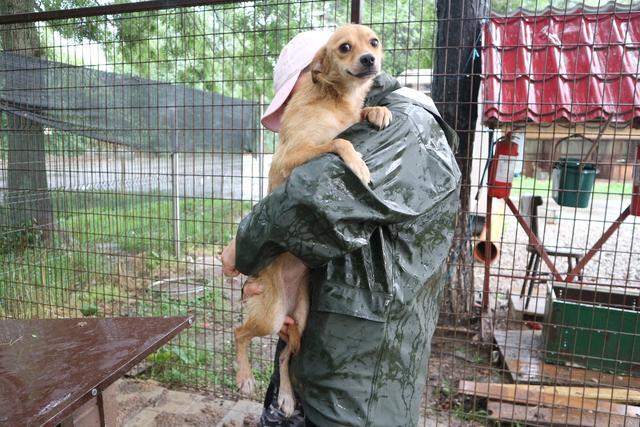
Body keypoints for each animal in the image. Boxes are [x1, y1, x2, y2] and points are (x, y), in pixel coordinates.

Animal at [229, 25, 390, 416]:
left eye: (374, 42)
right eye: (344, 48)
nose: (370, 60)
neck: (335, 98)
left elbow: (356, 121)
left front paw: (377, 110)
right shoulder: (292, 157)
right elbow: (340, 143)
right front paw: (359, 165)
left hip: (299, 320)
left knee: (285, 356)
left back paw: (287, 397)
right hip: (271, 314)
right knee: (239, 333)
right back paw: (245, 377)